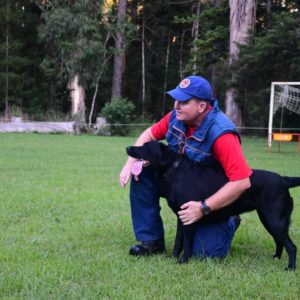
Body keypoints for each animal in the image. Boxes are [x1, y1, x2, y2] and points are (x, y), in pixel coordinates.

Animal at [126, 141, 300, 270]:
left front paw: (183, 261)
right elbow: (178, 241)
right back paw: (276, 258)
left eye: (146, 147)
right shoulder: (181, 217)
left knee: (291, 246)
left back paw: (290, 268)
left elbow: (187, 244)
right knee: (280, 241)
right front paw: (172, 257)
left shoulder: (190, 218)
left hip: (275, 220)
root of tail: (284, 179)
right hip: (268, 219)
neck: (173, 171)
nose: (128, 148)